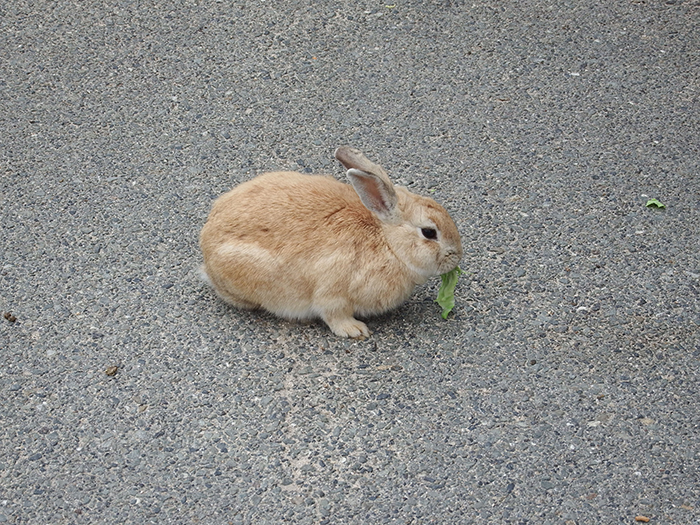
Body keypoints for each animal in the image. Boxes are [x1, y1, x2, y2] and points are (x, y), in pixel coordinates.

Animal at [200, 147, 463, 339]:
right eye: (429, 232)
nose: (457, 257)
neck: (388, 242)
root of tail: (206, 251)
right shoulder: (333, 293)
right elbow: (334, 314)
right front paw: (356, 331)